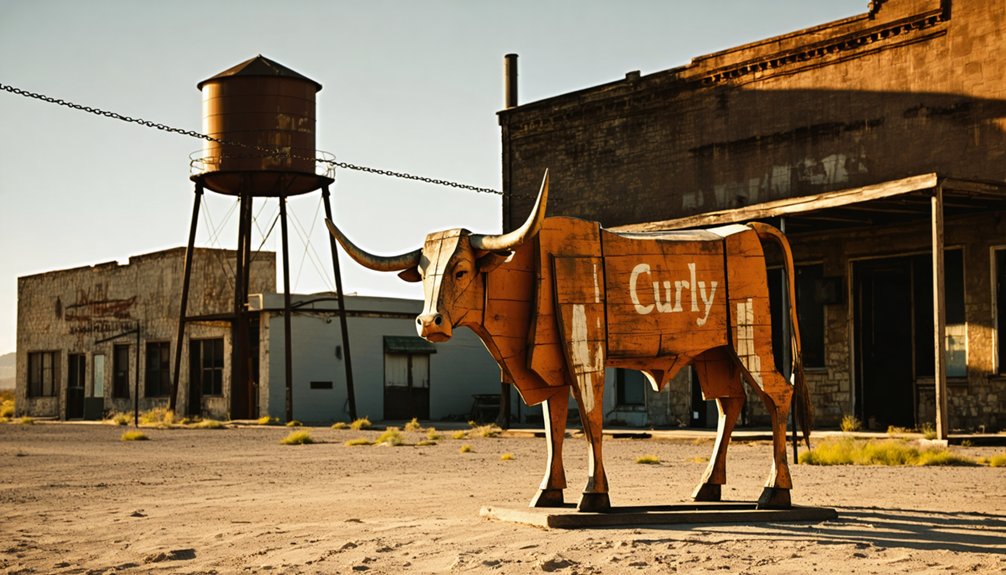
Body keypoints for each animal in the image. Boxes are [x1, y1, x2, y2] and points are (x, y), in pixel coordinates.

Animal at [326, 171, 811, 512]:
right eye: (424, 274)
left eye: (462, 270)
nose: (429, 322)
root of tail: (748, 229)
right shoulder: (547, 366)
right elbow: (553, 426)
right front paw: (548, 492)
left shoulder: (584, 351)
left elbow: (591, 418)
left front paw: (594, 495)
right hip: (714, 355)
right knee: (729, 405)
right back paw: (708, 487)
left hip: (750, 341)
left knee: (777, 395)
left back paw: (775, 491)